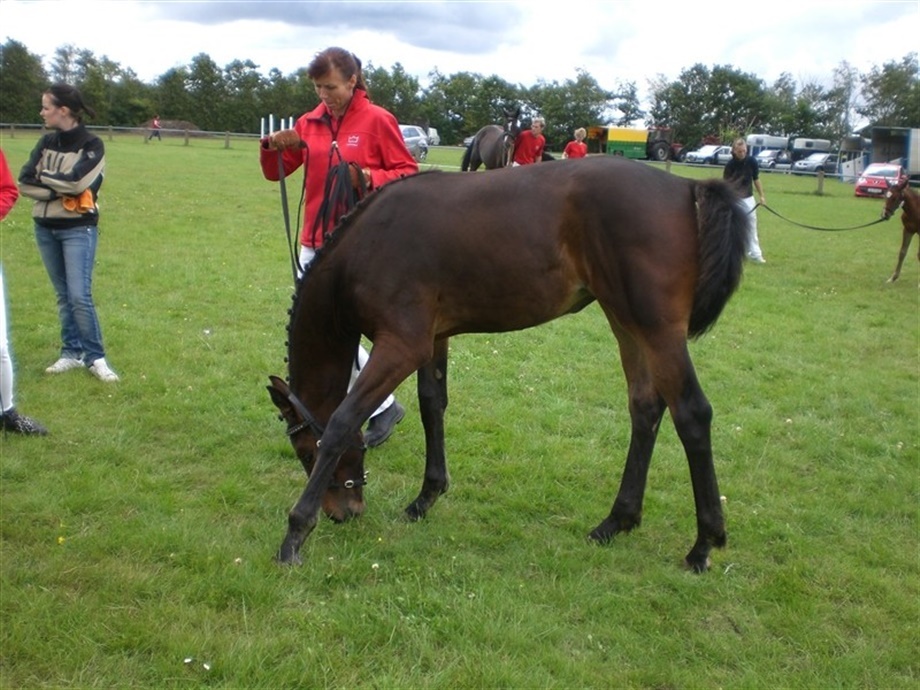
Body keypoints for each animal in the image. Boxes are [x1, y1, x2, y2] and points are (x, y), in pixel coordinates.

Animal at [267, 155, 749, 573]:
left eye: (305, 452)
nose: (344, 512)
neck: (369, 245)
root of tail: (685, 187)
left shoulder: (401, 346)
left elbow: (343, 422)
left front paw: (295, 534)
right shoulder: (433, 339)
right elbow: (431, 405)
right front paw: (427, 497)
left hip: (656, 328)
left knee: (692, 413)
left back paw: (703, 544)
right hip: (624, 320)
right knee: (645, 407)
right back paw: (617, 521)